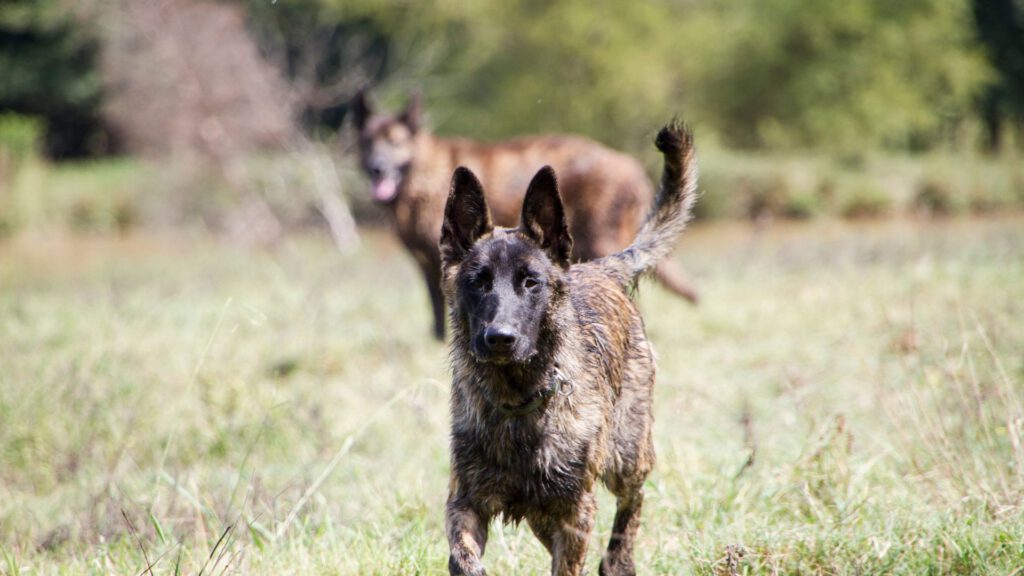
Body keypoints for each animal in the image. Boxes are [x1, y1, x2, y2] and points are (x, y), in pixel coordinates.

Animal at [348, 89, 700, 338]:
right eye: (367, 141)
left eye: (395, 142)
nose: (377, 167)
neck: (421, 170)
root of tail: (631, 168)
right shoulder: (429, 266)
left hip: (601, 241)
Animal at [438, 118, 696, 569]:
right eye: (477, 282)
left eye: (531, 282)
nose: (500, 338)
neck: (516, 401)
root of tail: (600, 268)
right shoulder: (465, 502)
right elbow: (463, 559)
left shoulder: (575, 513)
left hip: (627, 455)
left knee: (633, 502)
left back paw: (618, 561)